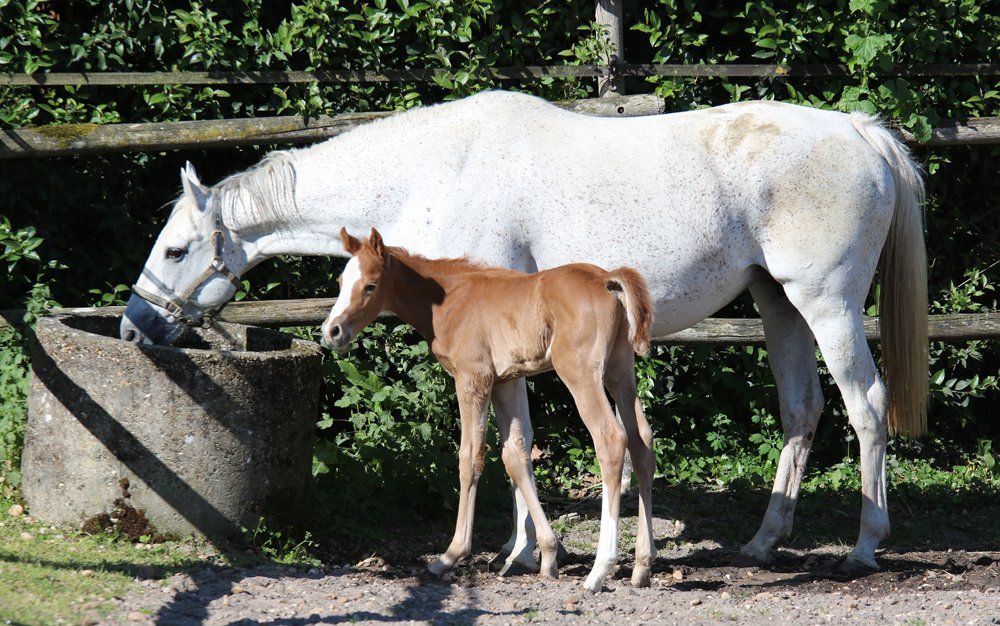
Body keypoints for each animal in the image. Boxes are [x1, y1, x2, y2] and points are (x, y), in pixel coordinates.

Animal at [323, 226, 655, 591]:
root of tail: (606, 279)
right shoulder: (505, 381)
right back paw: (642, 565)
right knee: (642, 442)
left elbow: (470, 457)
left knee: (611, 440)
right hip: (619, 370)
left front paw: (450, 555)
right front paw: (546, 555)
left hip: (580, 372)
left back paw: (599, 570)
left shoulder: (473, 378)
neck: (451, 299)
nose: (332, 331)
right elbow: (515, 455)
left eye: (370, 285)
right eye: (341, 281)